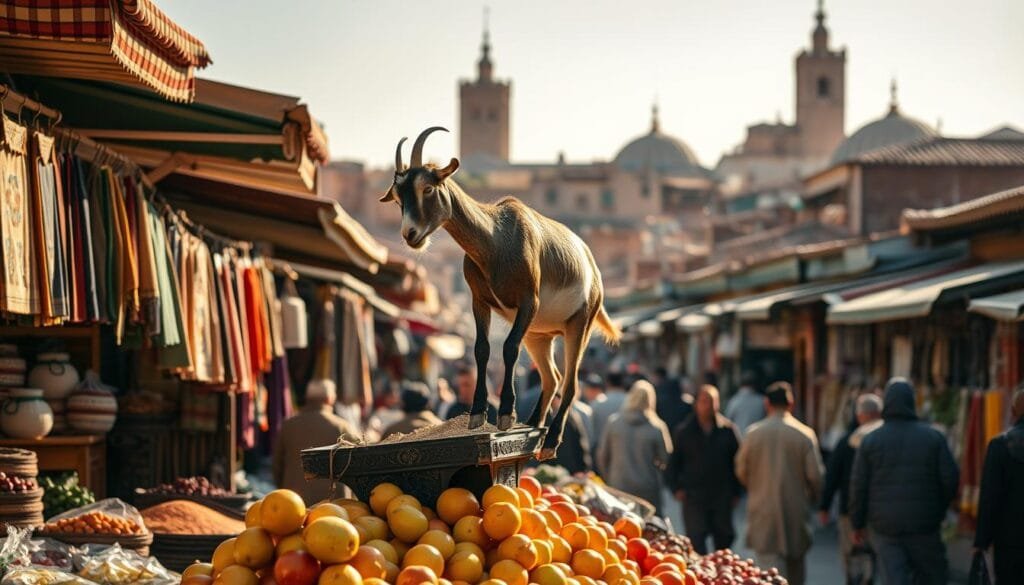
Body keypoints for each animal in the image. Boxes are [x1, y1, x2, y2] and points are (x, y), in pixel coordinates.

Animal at [380, 127, 621, 458]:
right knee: (552, 377)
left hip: (579, 325)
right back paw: (532, 426)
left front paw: (506, 413)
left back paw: (550, 440)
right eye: (397, 197)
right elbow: (482, 349)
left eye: (428, 187)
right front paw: (478, 414)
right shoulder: (479, 302)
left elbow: (508, 348)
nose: (410, 235)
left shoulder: (528, 302)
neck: (497, 237)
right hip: (540, 336)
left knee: (571, 382)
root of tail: (591, 265)